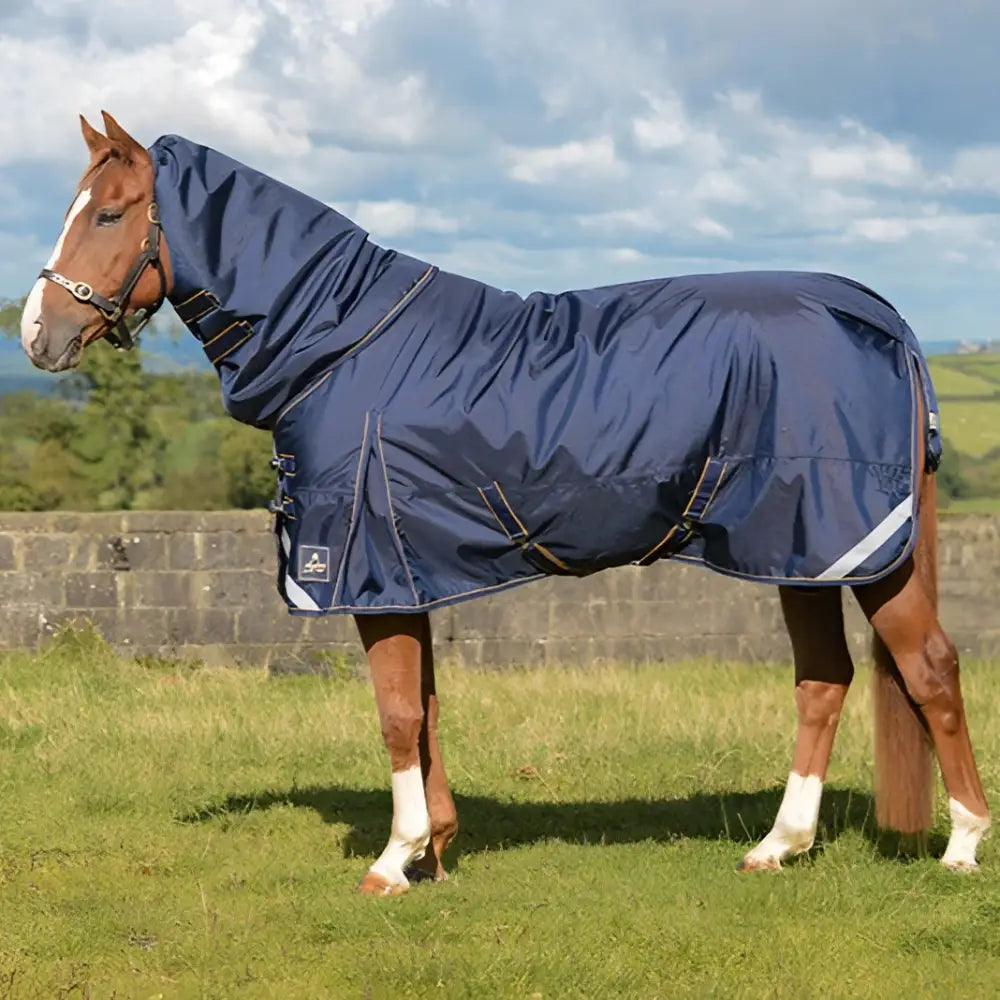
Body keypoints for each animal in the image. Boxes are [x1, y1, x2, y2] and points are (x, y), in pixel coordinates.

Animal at [20, 112, 990, 895]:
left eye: (109, 214)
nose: (36, 333)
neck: (343, 341)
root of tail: (881, 316)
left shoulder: (365, 566)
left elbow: (397, 713)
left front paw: (394, 861)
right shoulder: (404, 569)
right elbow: (424, 708)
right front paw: (438, 851)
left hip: (855, 546)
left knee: (930, 669)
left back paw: (962, 847)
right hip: (798, 551)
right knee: (823, 681)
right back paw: (778, 847)